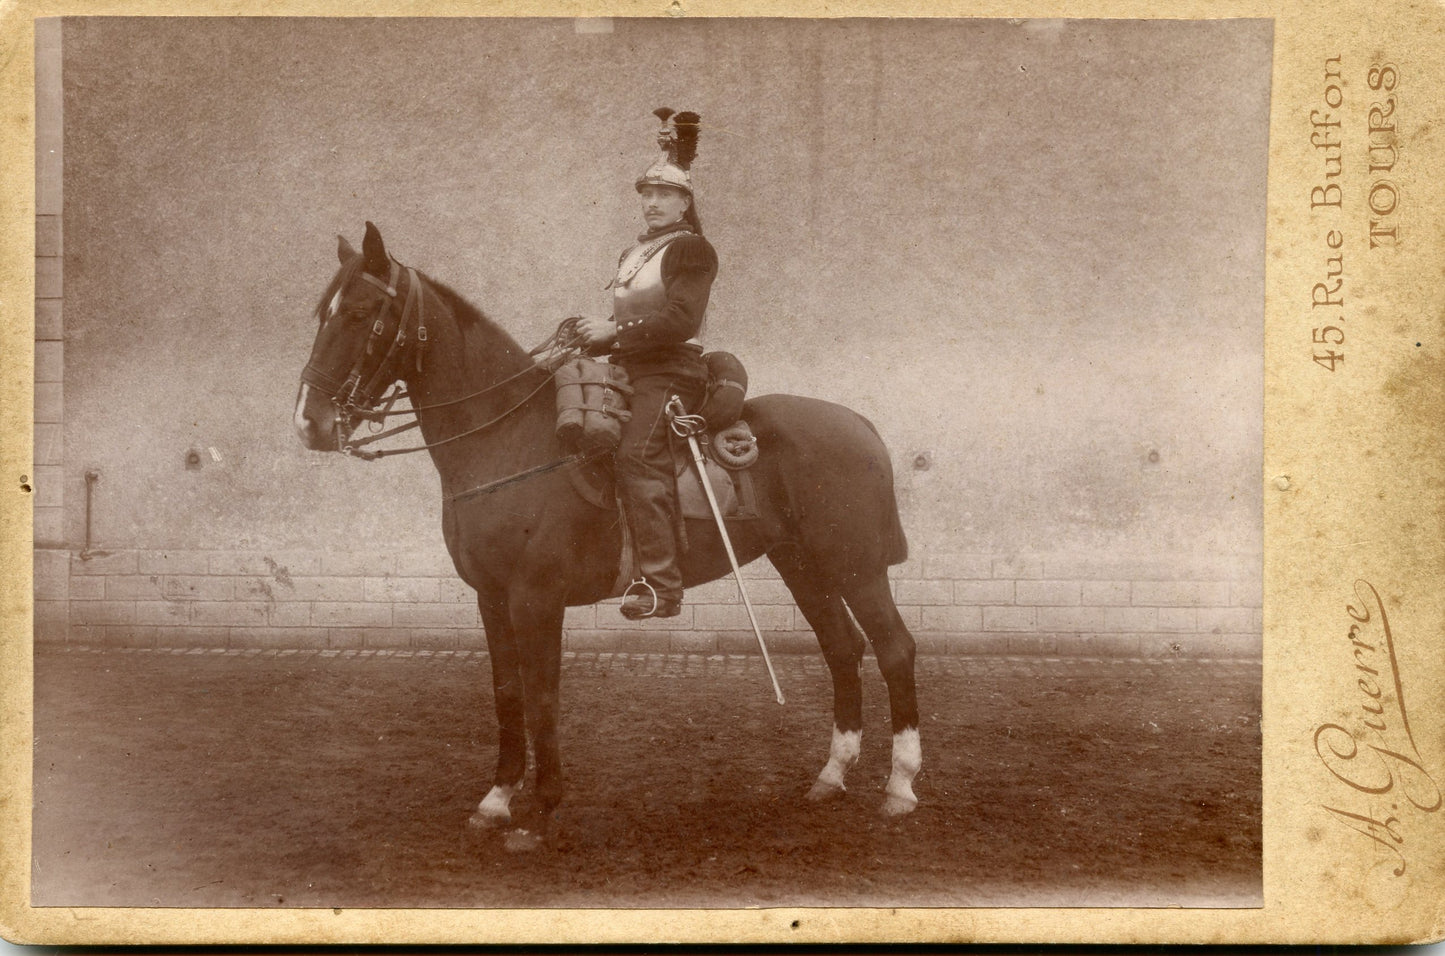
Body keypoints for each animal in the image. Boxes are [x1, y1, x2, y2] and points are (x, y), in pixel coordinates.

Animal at [296, 222, 924, 837]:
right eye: (323, 312)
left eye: (361, 313)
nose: (310, 422)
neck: (504, 442)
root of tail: (858, 423)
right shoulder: (491, 599)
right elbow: (507, 693)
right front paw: (498, 798)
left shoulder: (536, 598)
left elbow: (543, 695)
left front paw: (543, 807)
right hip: (801, 562)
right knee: (842, 648)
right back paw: (831, 776)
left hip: (856, 566)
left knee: (894, 648)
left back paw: (900, 787)